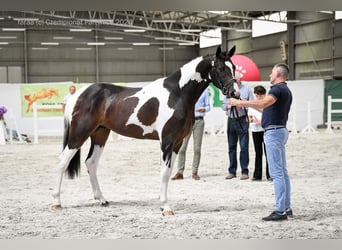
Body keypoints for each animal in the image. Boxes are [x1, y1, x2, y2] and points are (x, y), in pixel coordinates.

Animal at [51, 46, 238, 216]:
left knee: (91, 162)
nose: (234, 92)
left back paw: (102, 199)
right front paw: (166, 207)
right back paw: (56, 202)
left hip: (100, 134)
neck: (177, 93)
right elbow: (164, 173)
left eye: (234, 67)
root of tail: (79, 94)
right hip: (79, 134)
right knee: (62, 162)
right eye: (220, 68)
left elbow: (167, 172)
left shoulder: (177, 142)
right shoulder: (167, 141)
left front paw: (162, 203)